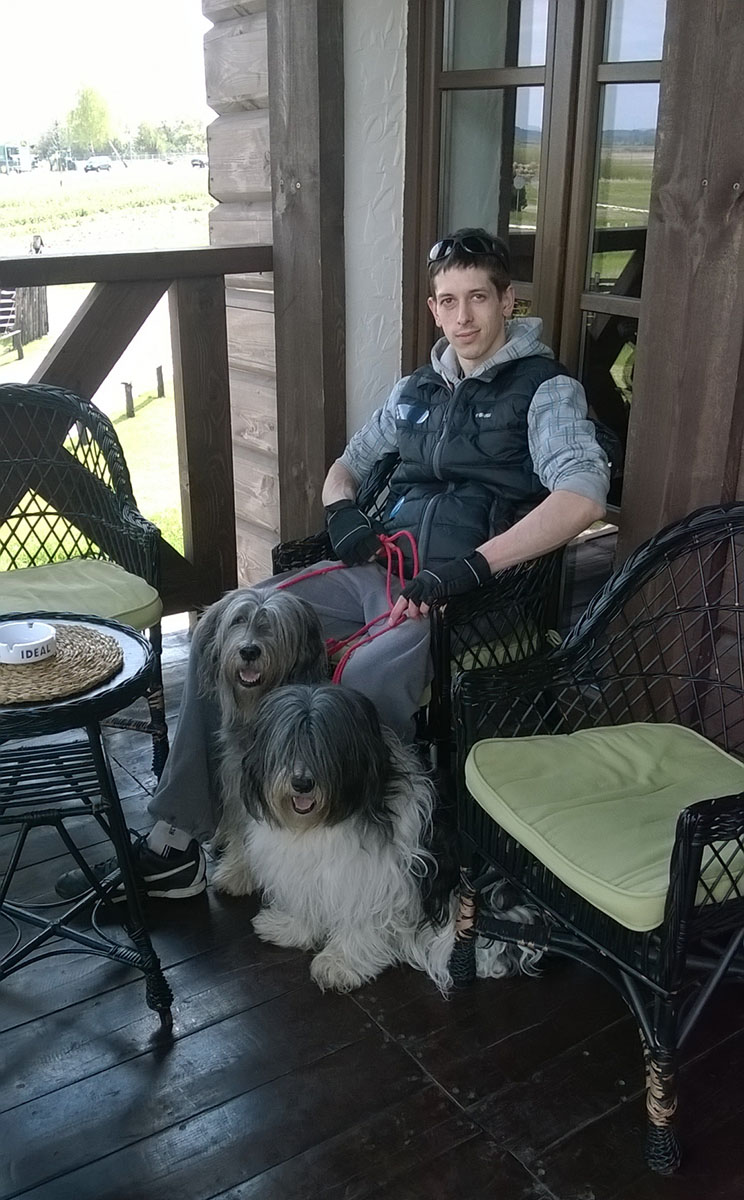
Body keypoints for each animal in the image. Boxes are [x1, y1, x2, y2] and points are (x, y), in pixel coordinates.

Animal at [212, 682, 541, 994]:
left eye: (324, 748)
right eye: (287, 744)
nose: (302, 783)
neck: (321, 823)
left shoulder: (372, 878)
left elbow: (360, 921)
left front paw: (339, 963)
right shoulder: (306, 873)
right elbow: (305, 902)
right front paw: (288, 928)